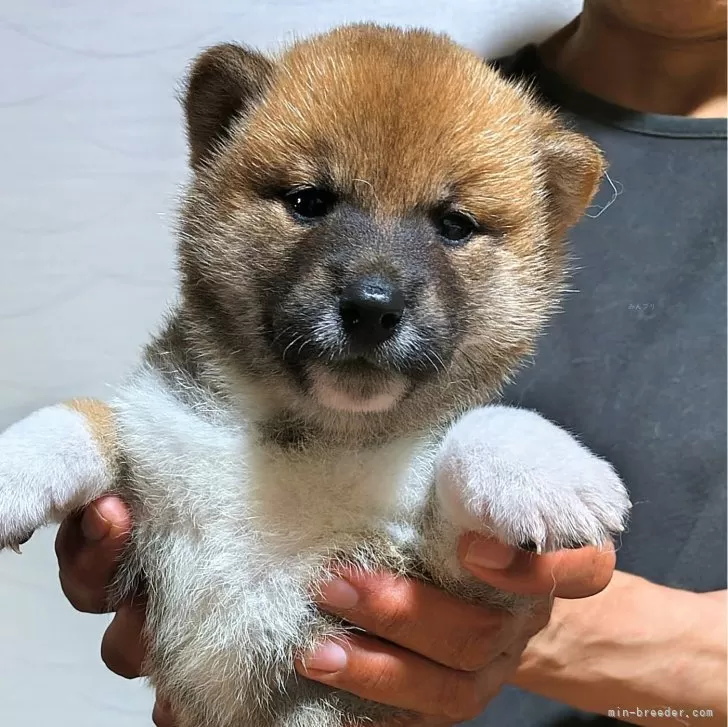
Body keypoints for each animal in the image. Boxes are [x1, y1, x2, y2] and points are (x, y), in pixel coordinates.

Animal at [0, 22, 632, 727]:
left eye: (454, 224)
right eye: (310, 202)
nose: (372, 307)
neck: (312, 437)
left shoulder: (443, 576)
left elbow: (479, 431)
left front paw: (543, 469)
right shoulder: (154, 457)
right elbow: (87, 417)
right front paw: (16, 467)